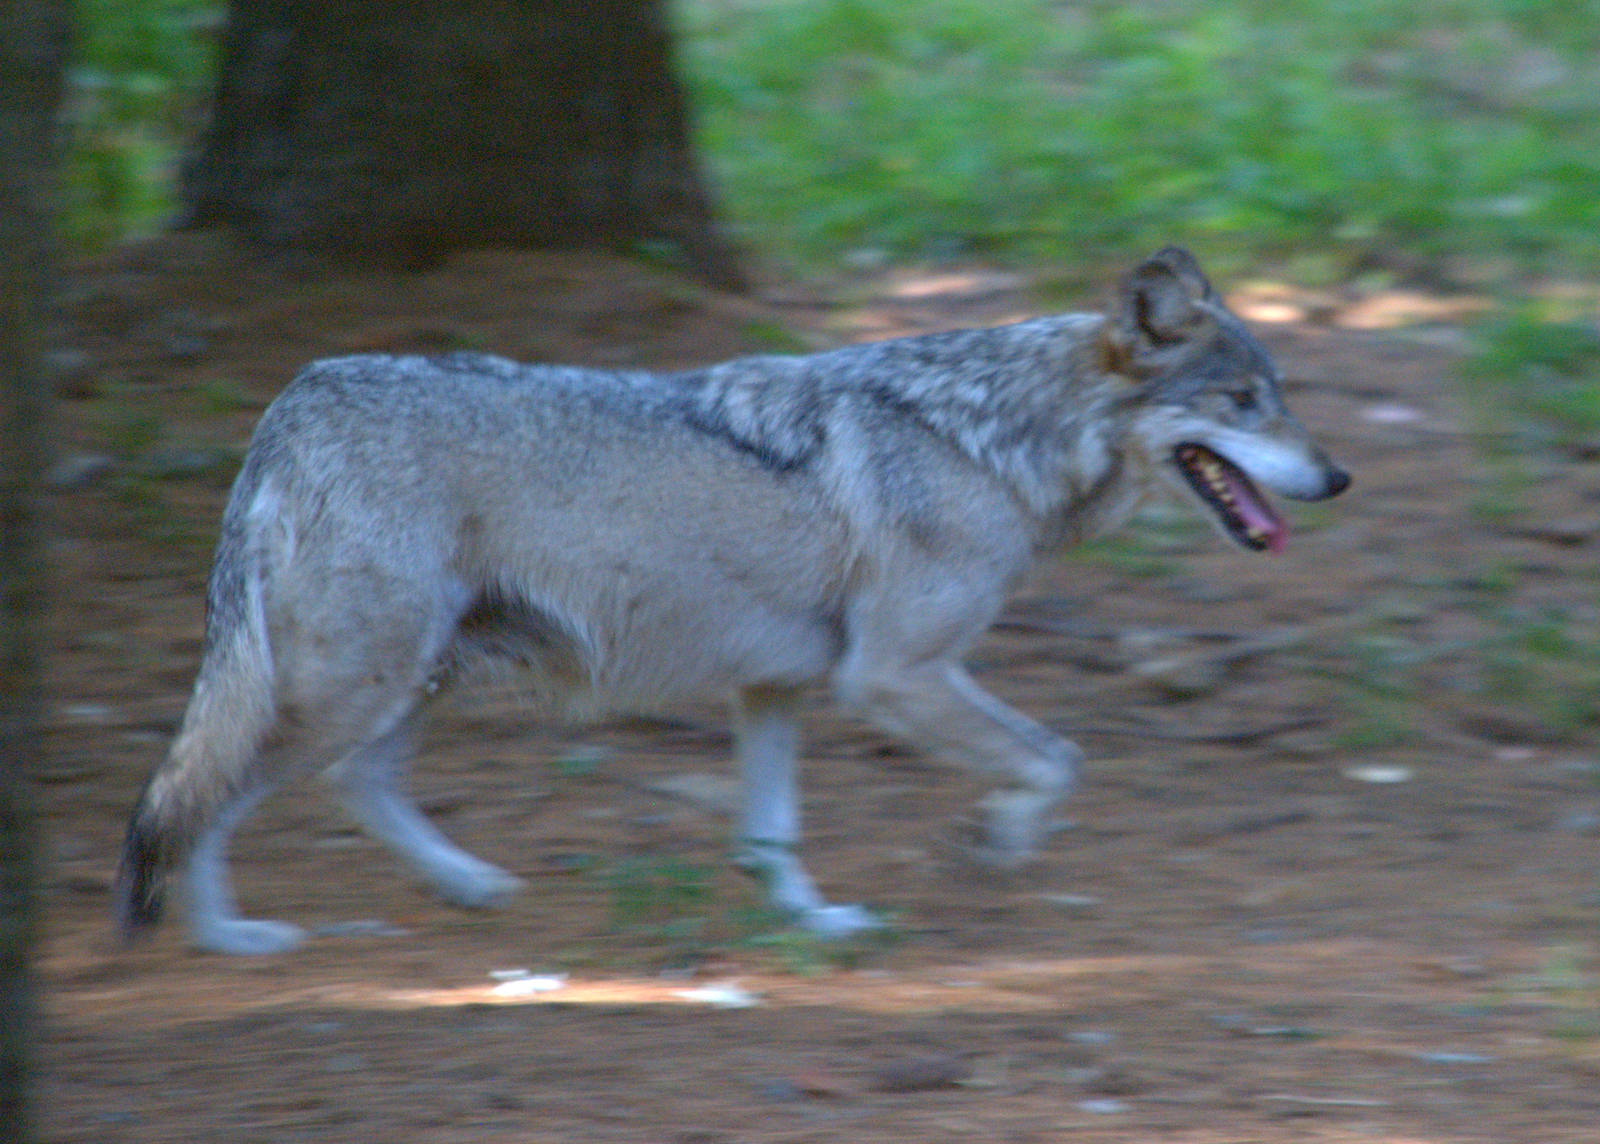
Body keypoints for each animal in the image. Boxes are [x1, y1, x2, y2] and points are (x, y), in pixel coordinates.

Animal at [114, 247, 1349, 955]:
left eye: (1282, 397)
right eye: (1245, 402)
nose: (1336, 477)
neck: (990, 441)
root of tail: (297, 397)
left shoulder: (780, 687)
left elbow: (771, 833)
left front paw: (815, 922)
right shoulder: (893, 678)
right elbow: (1055, 759)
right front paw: (997, 844)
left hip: (417, 679)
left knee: (349, 784)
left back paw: (471, 887)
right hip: (354, 682)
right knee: (201, 796)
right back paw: (230, 938)